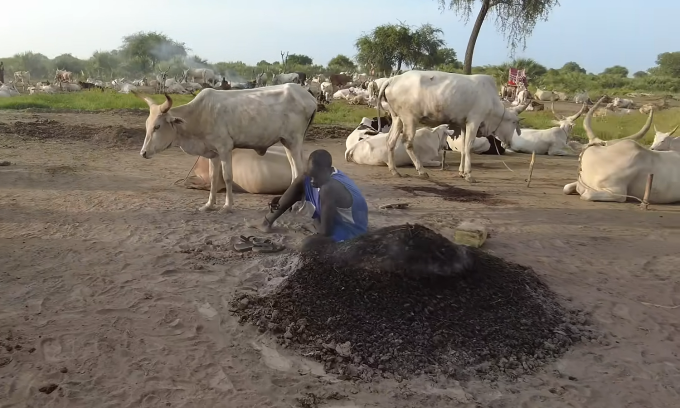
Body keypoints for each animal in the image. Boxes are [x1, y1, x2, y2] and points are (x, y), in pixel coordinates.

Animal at [134, 83, 318, 212]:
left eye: (157, 126)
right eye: (147, 125)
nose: (143, 152)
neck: (199, 115)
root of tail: (309, 97)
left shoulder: (224, 148)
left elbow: (228, 177)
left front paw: (227, 206)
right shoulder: (213, 153)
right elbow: (214, 178)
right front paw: (209, 205)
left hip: (294, 140)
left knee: (299, 171)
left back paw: (299, 207)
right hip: (286, 142)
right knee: (294, 171)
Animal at [378, 71, 524, 182]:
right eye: (514, 122)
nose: (508, 143)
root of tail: (392, 79)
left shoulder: (464, 125)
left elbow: (464, 148)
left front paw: (461, 172)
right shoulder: (474, 121)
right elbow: (468, 146)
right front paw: (469, 174)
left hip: (397, 118)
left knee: (390, 141)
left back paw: (394, 171)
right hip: (410, 119)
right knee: (407, 142)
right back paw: (421, 171)